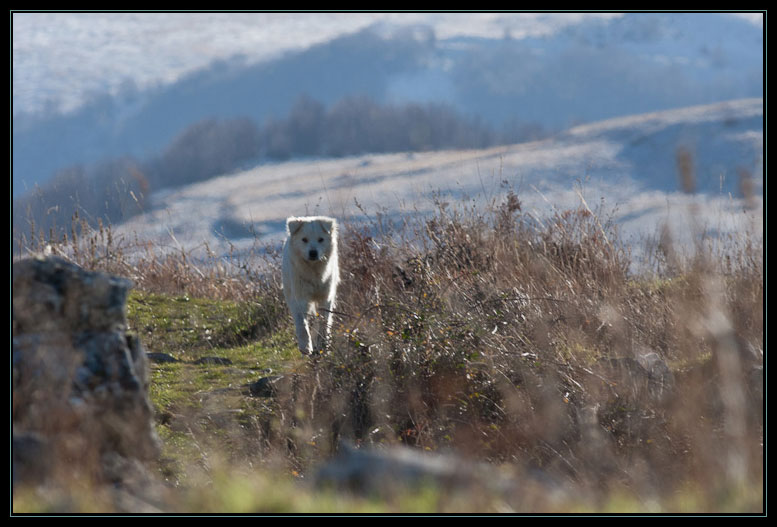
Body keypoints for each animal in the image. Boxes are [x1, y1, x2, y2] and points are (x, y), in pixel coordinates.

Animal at [280, 217, 338, 356]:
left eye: (320, 239)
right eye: (304, 239)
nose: (313, 253)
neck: (313, 271)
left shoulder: (326, 297)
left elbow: (324, 321)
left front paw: (323, 344)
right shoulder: (300, 298)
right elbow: (302, 324)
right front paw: (305, 347)